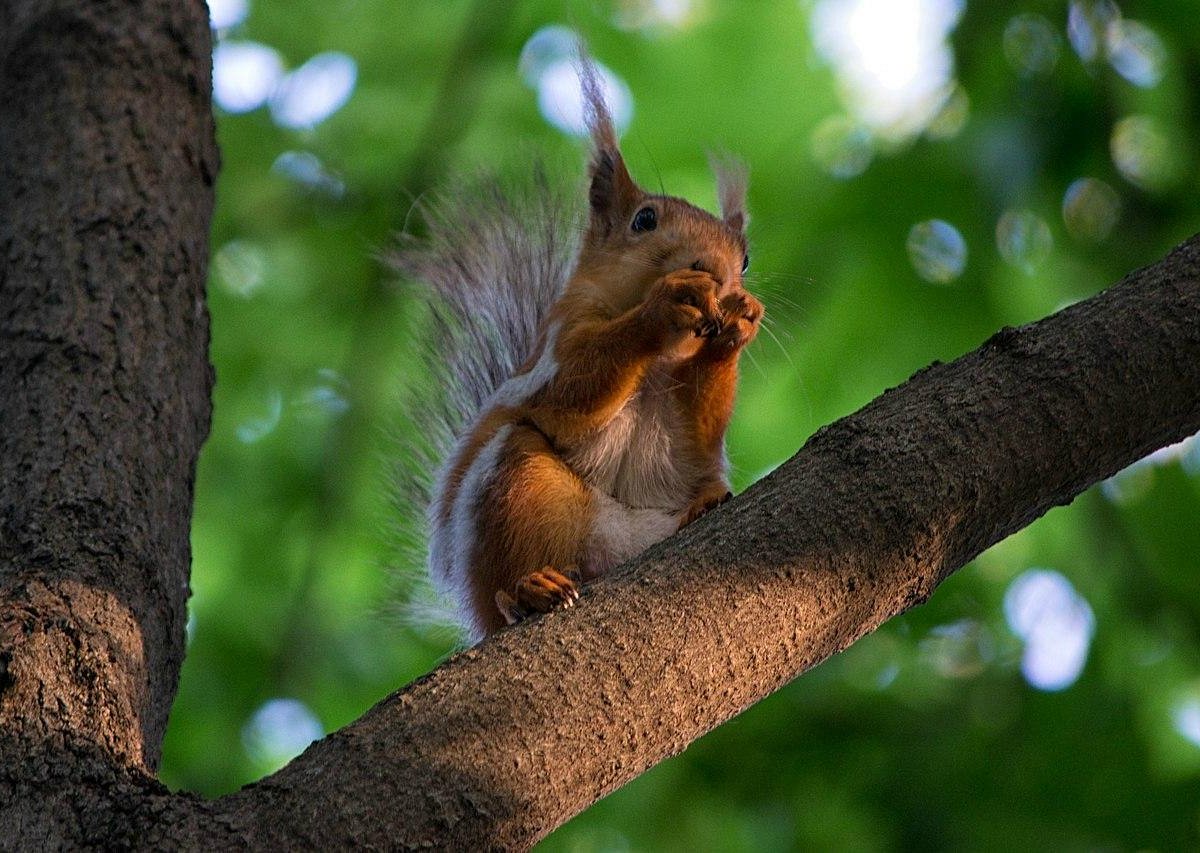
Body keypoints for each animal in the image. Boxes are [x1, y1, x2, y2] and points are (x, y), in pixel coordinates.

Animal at [398, 51, 763, 643]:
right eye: (644, 219)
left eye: (746, 259)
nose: (714, 270)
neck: (656, 367)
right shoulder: (559, 341)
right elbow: (574, 391)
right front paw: (664, 304)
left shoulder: (688, 427)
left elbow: (696, 443)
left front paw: (740, 322)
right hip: (518, 487)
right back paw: (528, 590)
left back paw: (705, 503)